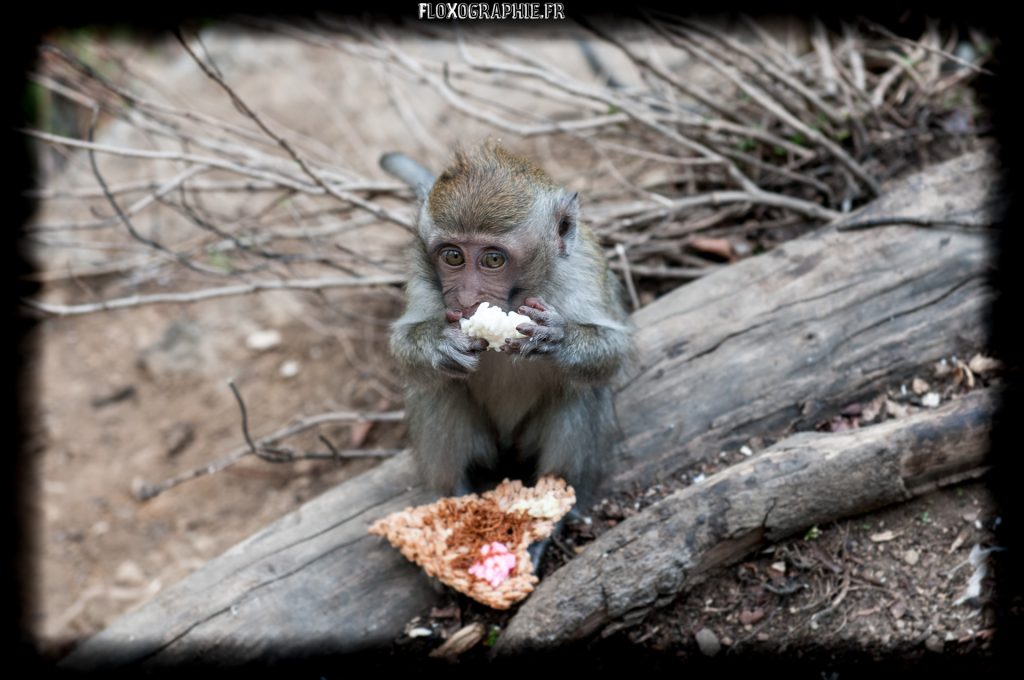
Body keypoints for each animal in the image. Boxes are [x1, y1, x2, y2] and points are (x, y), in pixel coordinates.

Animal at [382, 142, 632, 539]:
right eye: (453, 255)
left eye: (493, 260)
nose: (466, 297)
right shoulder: (421, 272)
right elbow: (404, 344)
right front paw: (440, 344)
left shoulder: (584, 269)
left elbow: (613, 351)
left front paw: (556, 339)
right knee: (438, 387)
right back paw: (454, 498)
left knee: (581, 389)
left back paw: (553, 508)